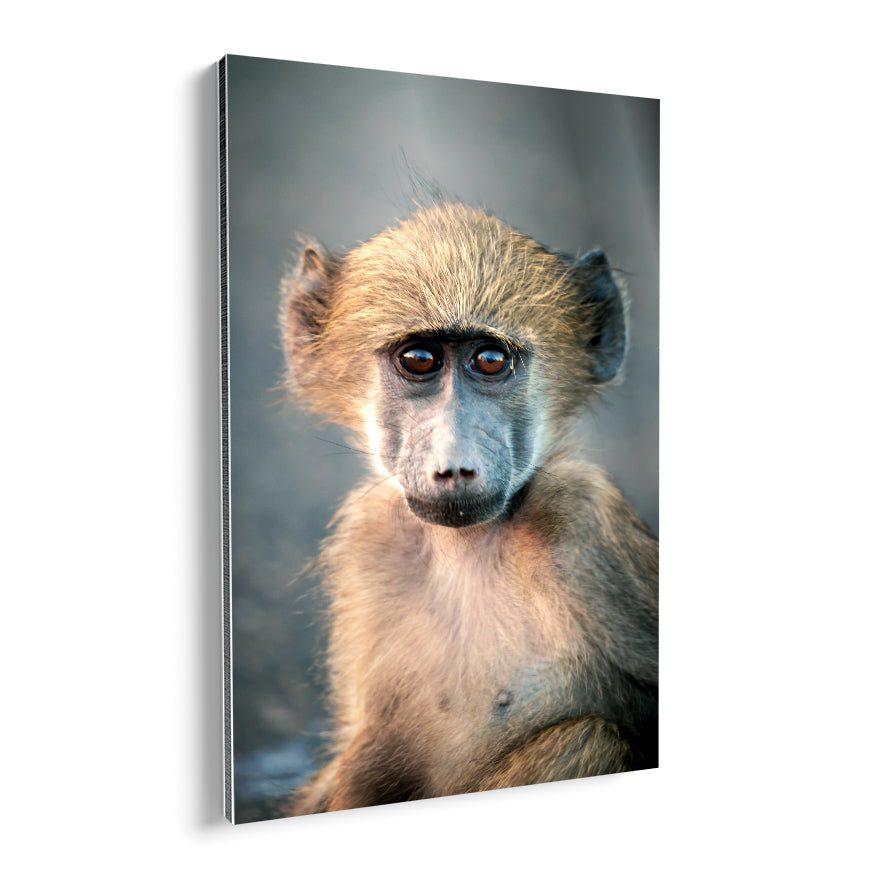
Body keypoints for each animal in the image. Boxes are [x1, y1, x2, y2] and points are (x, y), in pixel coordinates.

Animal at [279, 202, 658, 815]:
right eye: (419, 360)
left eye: (490, 360)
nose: (454, 466)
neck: (465, 548)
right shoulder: (368, 539)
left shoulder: (585, 526)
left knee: (584, 738)